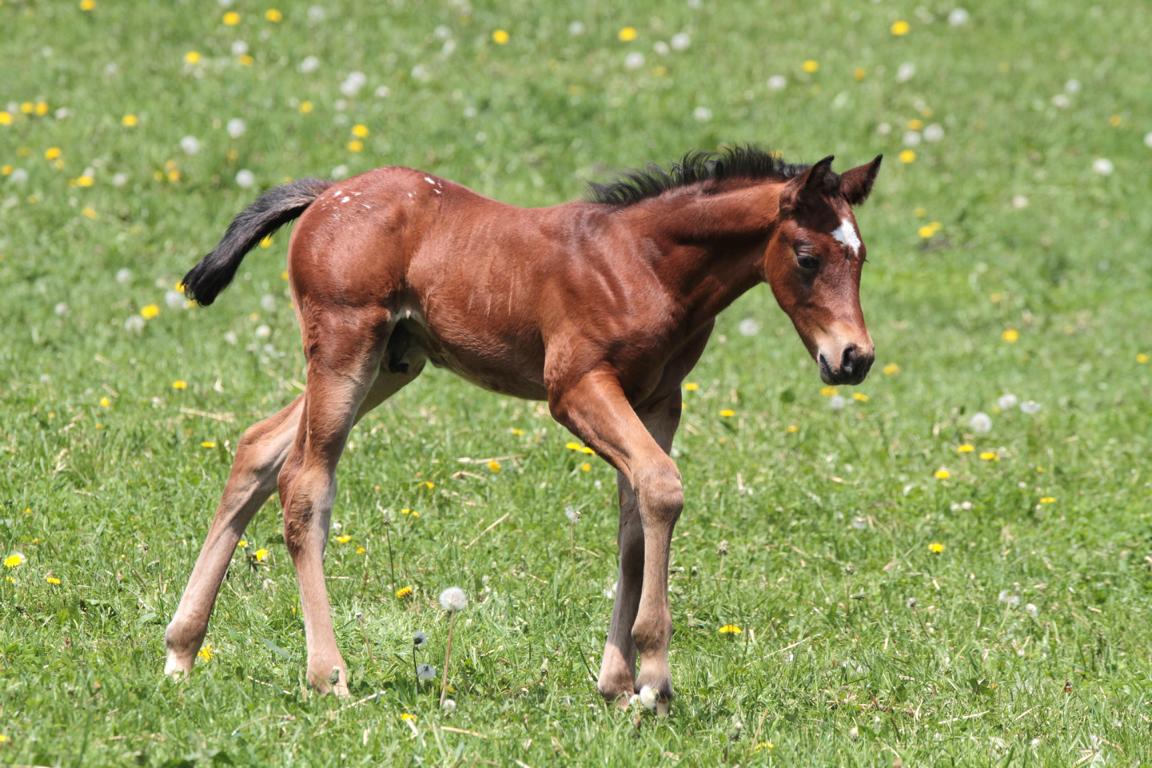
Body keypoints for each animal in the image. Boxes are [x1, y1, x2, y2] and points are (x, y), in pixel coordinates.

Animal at [164, 145, 880, 713]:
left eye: (862, 257)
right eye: (808, 256)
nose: (854, 358)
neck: (645, 264)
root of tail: (325, 195)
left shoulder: (658, 400)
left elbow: (634, 521)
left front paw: (616, 683)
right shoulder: (577, 389)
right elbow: (662, 486)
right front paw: (653, 679)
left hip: (393, 362)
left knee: (257, 447)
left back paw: (181, 649)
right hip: (347, 346)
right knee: (305, 481)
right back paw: (327, 675)